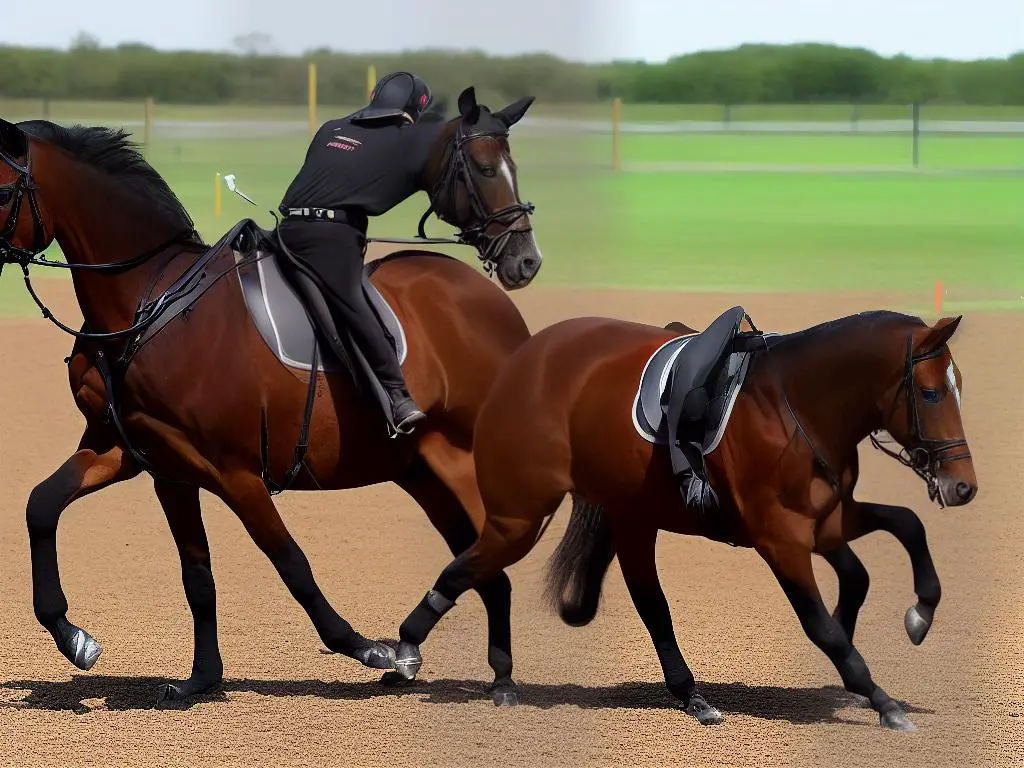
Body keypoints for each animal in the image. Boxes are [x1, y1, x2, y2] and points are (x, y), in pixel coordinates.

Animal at [0, 88, 544, 704]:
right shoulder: (148, 460)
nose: (525, 258)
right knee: (485, 564)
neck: (148, 302)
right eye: (486, 168)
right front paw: (121, 653)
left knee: (493, 554)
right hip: (424, 471)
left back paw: (452, 661)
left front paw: (363, 646)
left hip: (463, 463)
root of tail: (497, 309)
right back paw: (482, 670)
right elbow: (60, 513)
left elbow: (290, 562)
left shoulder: (233, 470)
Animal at [389, 303, 974, 729]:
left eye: (959, 388)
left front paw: (920, 614)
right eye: (930, 393)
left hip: (624, 518)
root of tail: (523, 360)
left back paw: (682, 695)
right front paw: (880, 699)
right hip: (520, 518)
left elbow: (904, 526)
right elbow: (823, 627)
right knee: (467, 569)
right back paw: (408, 649)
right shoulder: (781, 541)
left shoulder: (828, 521)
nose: (963, 486)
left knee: (648, 604)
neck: (797, 408)